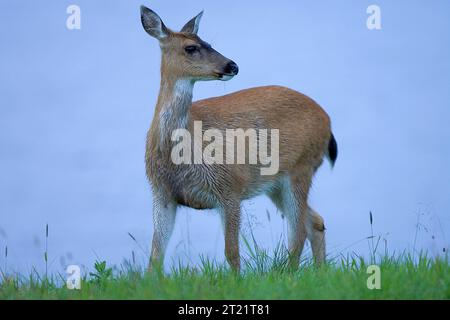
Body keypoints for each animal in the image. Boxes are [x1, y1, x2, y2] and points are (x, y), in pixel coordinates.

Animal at [141, 4, 338, 272]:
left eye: (208, 42)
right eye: (191, 47)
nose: (232, 65)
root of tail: (326, 119)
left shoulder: (230, 187)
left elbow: (231, 253)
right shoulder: (162, 193)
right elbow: (155, 256)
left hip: (301, 167)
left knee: (298, 232)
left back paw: (290, 274)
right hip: (275, 183)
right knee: (314, 222)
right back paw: (318, 272)